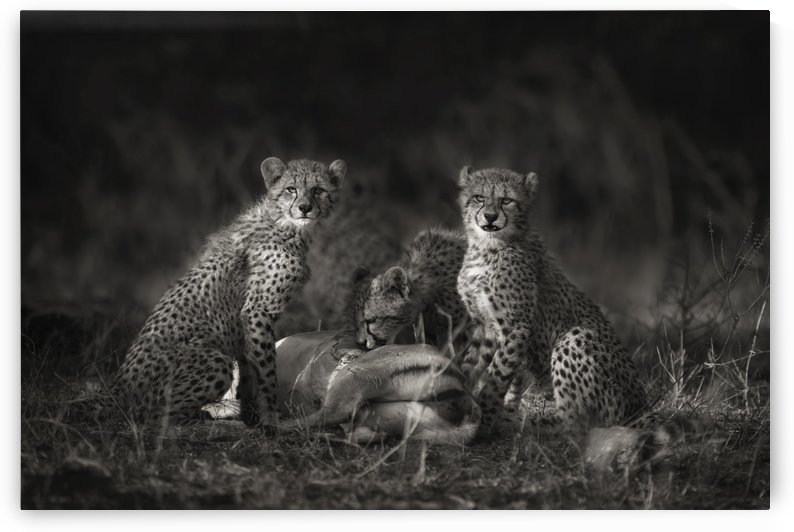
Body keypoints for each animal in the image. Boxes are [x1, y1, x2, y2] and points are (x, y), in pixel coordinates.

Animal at [115, 157, 346, 431]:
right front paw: (269, 418)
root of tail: (122, 392)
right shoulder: (257, 311)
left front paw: (252, 416)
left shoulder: (245, 325)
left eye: (318, 190)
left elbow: (248, 369)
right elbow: (266, 370)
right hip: (214, 361)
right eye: (291, 189)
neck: (285, 224)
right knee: (157, 417)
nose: (304, 208)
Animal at [455, 165, 649, 435]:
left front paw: (485, 421)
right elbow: (471, 366)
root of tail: (639, 405)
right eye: (479, 197)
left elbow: (497, 375)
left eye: (506, 200)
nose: (491, 217)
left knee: (577, 423)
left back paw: (524, 423)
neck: (487, 247)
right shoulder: (485, 325)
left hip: (574, 338)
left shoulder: (517, 326)